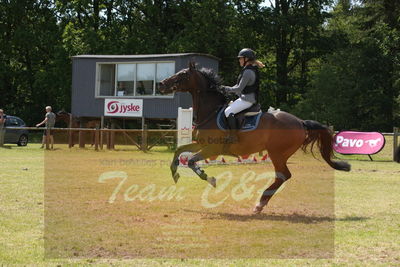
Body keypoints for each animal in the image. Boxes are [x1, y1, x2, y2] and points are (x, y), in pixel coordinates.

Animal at [159, 62, 350, 214]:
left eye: (182, 75)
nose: (161, 84)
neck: (211, 112)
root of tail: (301, 122)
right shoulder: (201, 144)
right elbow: (179, 151)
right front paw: (175, 173)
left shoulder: (212, 148)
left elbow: (191, 161)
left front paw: (209, 178)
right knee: (282, 176)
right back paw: (261, 203)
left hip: (276, 153)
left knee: (283, 175)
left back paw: (260, 203)